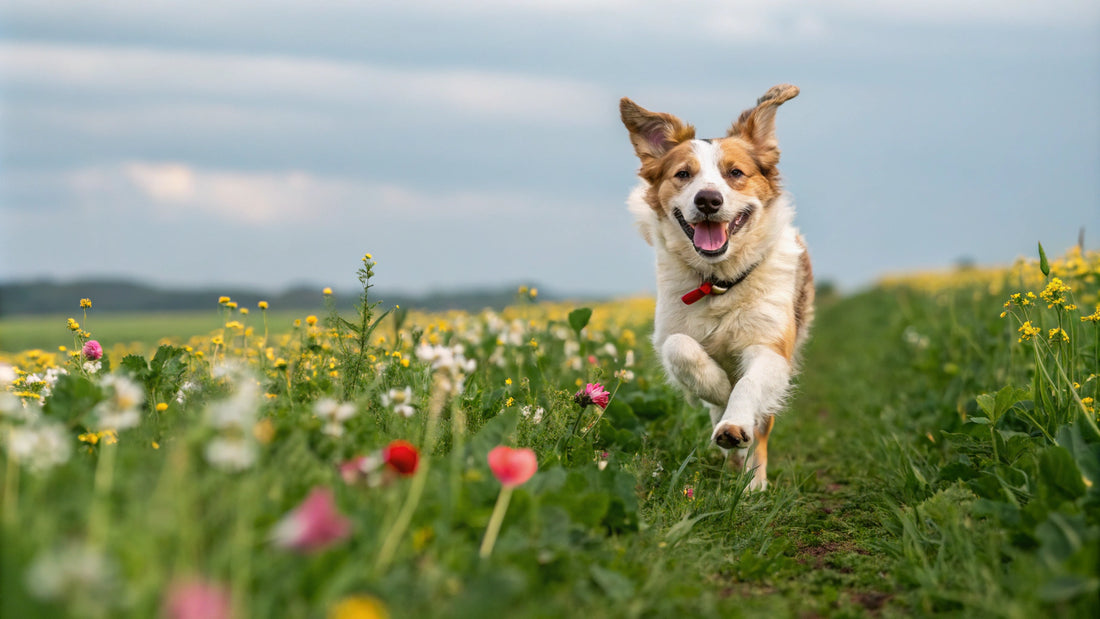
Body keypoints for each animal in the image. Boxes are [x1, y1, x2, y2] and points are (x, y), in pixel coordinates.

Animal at [620, 83, 818, 490]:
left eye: (735, 173)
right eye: (683, 174)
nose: (708, 199)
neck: (719, 283)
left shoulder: (771, 345)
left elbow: (748, 388)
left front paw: (734, 423)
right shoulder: (671, 333)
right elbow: (684, 351)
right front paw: (721, 396)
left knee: (761, 430)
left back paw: (753, 483)